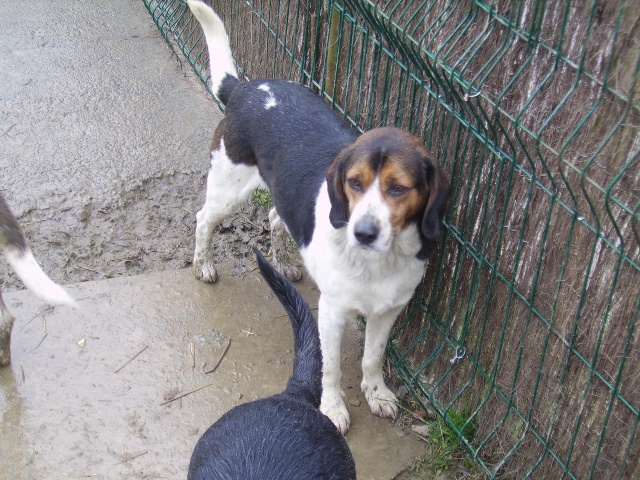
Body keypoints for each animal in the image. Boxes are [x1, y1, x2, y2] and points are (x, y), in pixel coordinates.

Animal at [188, 0, 452, 436]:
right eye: (354, 182)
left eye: (398, 188)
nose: (363, 232)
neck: (377, 262)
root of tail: (246, 88)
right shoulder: (331, 311)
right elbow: (329, 368)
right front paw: (332, 408)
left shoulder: (389, 311)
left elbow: (372, 357)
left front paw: (377, 394)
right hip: (229, 186)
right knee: (203, 219)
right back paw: (203, 264)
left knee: (276, 217)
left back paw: (282, 262)